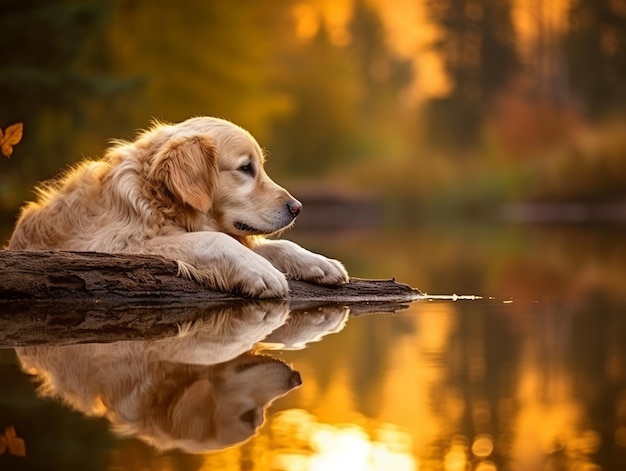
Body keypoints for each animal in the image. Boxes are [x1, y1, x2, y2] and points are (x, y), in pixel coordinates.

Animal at [9, 116, 348, 296]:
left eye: (259, 167)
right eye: (245, 168)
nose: (297, 207)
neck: (156, 200)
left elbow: (275, 245)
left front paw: (319, 262)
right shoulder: (115, 245)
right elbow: (214, 239)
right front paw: (260, 272)